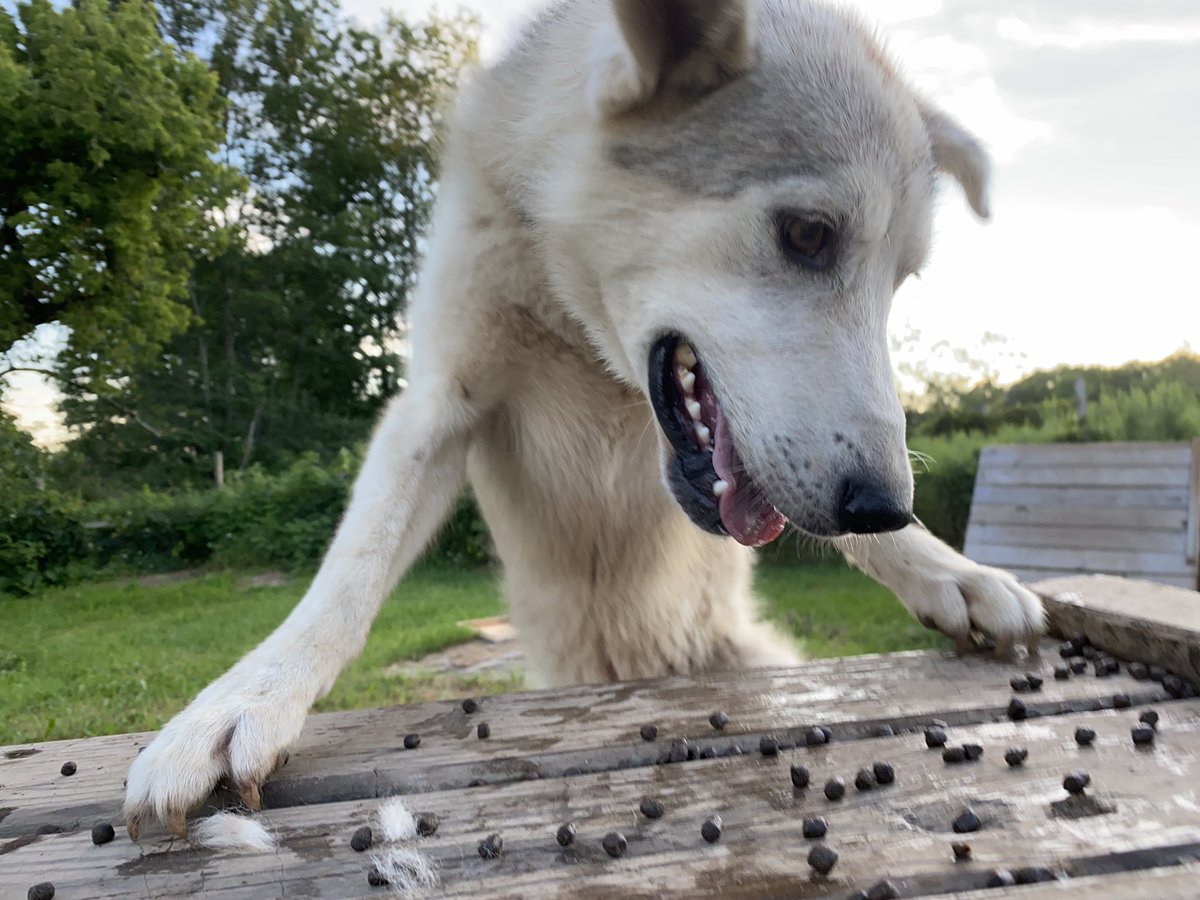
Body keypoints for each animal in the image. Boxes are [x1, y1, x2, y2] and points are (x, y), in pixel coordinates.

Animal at [119, 0, 1041, 840]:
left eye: (901, 280)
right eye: (809, 234)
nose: (886, 505)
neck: (581, 343)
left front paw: (952, 572)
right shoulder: (439, 406)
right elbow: (346, 580)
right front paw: (245, 699)